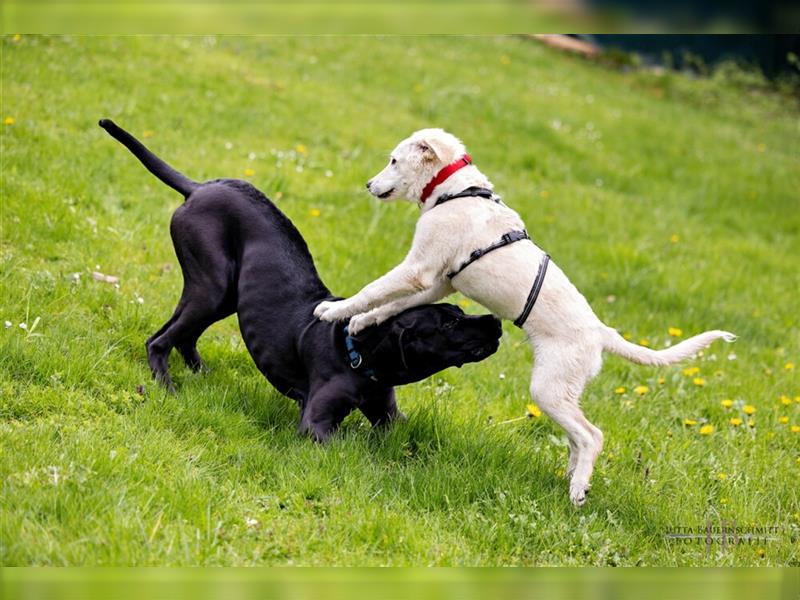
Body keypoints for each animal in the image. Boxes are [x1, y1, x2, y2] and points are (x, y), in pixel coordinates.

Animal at [98, 119, 500, 440]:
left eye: (459, 311)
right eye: (448, 324)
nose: (495, 322)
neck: (359, 354)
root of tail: (197, 187)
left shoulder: (389, 416)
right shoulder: (315, 424)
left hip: (224, 295)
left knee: (182, 335)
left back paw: (202, 374)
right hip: (211, 287)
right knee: (159, 340)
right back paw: (167, 386)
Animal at [314, 129, 736, 504]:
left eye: (394, 161)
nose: (369, 184)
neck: (455, 192)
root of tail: (601, 332)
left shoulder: (420, 268)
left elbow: (375, 288)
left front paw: (333, 310)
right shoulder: (439, 283)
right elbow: (391, 302)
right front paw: (361, 321)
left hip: (549, 387)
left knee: (591, 435)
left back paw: (577, 490)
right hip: (565, 388)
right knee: (578, 437)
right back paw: (574, 478)